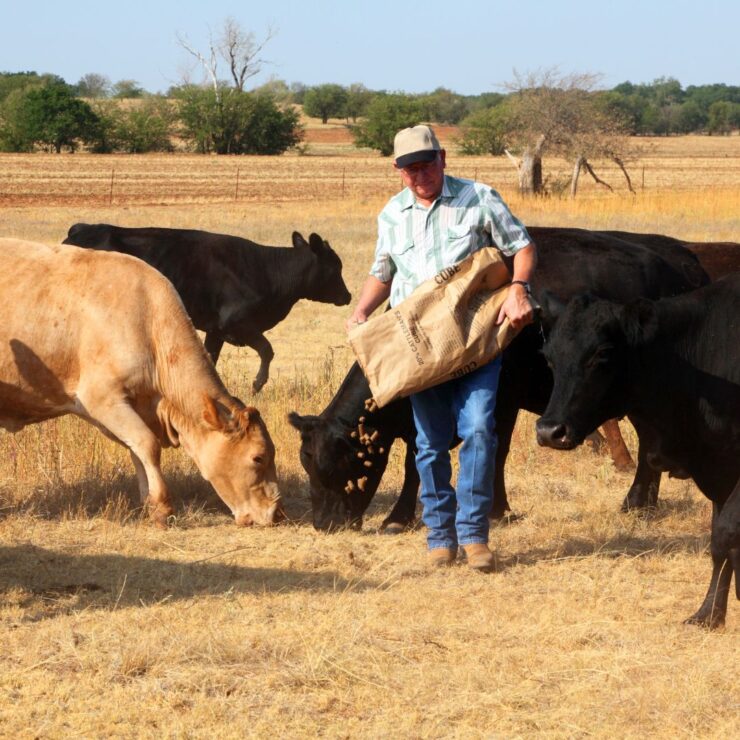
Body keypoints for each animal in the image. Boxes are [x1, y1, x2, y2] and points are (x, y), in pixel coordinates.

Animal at [0, 237, 282, 528]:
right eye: (258, 457)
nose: (277, 513)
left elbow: (138, 449)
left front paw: (150, 504)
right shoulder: (103, 399)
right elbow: (148, 444)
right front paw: (163, 506)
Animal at [63, 223, 352, 394]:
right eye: (335, 267)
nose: (348, 296)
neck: (267, 271)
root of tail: (80, 230)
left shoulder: (216, 330)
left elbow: (210, 359)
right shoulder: (237, 324)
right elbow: (267, 350)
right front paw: (257, 384)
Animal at [290, 225, 712, 532]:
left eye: (337, 466)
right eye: (307, 466)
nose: (323, 524)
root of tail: (684, 265)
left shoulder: (502, 400)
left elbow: (493, 453)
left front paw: (493, 509)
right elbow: (419, 460)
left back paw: (637, 500)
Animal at [536, 278, 740, 632]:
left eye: (602, 353)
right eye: (549, 357)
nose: (550, 431)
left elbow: (724, 533)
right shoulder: (718, 472)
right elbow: (721, 543)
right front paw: (708, 614)